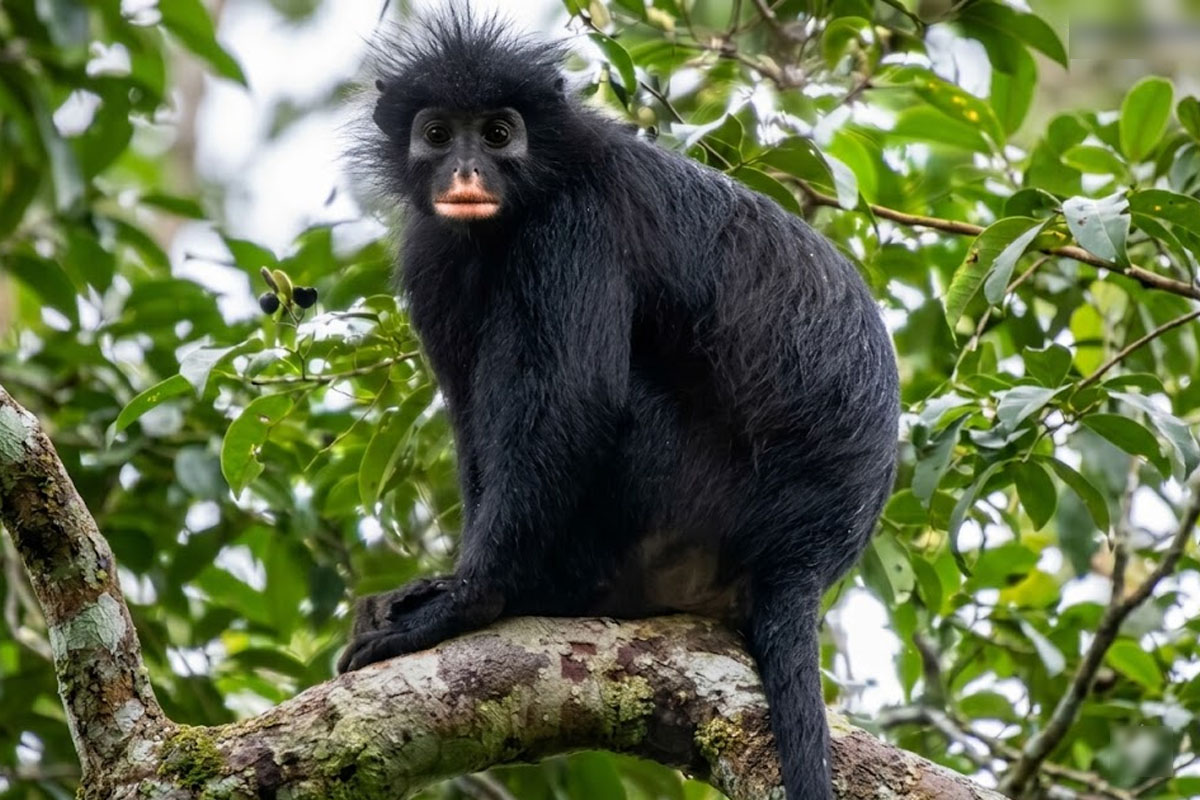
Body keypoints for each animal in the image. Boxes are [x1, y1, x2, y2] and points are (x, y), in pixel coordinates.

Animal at [337, 12, 900, 800]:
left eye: (499, 134)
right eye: (440, 135)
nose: (468, 173)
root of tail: (807, 556)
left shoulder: (575, 225)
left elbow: (575, 401)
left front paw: (470, 601)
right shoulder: (433, 254)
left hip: (683, 499)